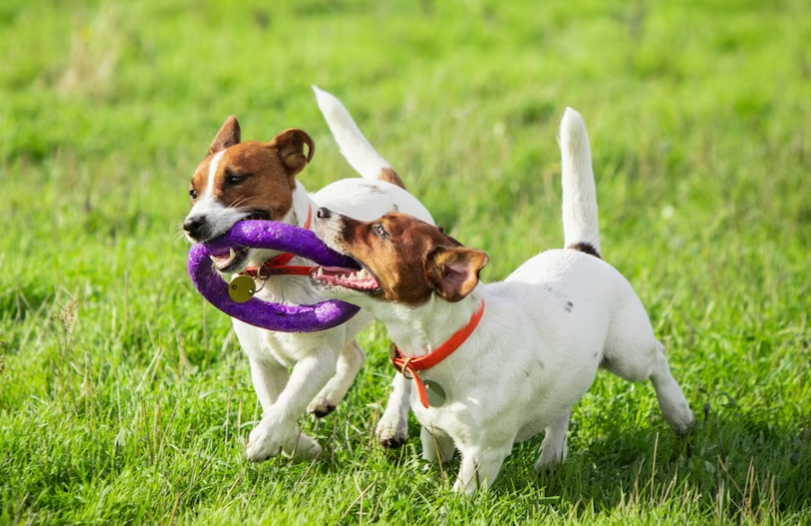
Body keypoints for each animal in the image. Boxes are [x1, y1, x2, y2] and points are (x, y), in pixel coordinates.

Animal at [183, 88, 434, 464]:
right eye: (193, 192)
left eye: (236, 179)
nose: (191, 225)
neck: (274, 270)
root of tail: (387, 184)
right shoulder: (263, 363)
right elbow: (275, 403)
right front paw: (299, 445)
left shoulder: (316, 358)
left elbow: (287, 403)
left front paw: (266, 439)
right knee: (355, 355)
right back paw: (328, 398)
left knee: (404, 372)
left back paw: (392, 424)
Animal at [314, 108, 696, 496]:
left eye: (380, 231)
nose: (321, 211)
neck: (450, 343)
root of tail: (582, 250)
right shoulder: (435, 435)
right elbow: (436, 466)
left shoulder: (483, 453)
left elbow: (461, 495)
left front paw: (450, 504)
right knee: (562, 408)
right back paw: (551, 455)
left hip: (627, 354)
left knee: (657, 359)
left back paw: (680, 415)